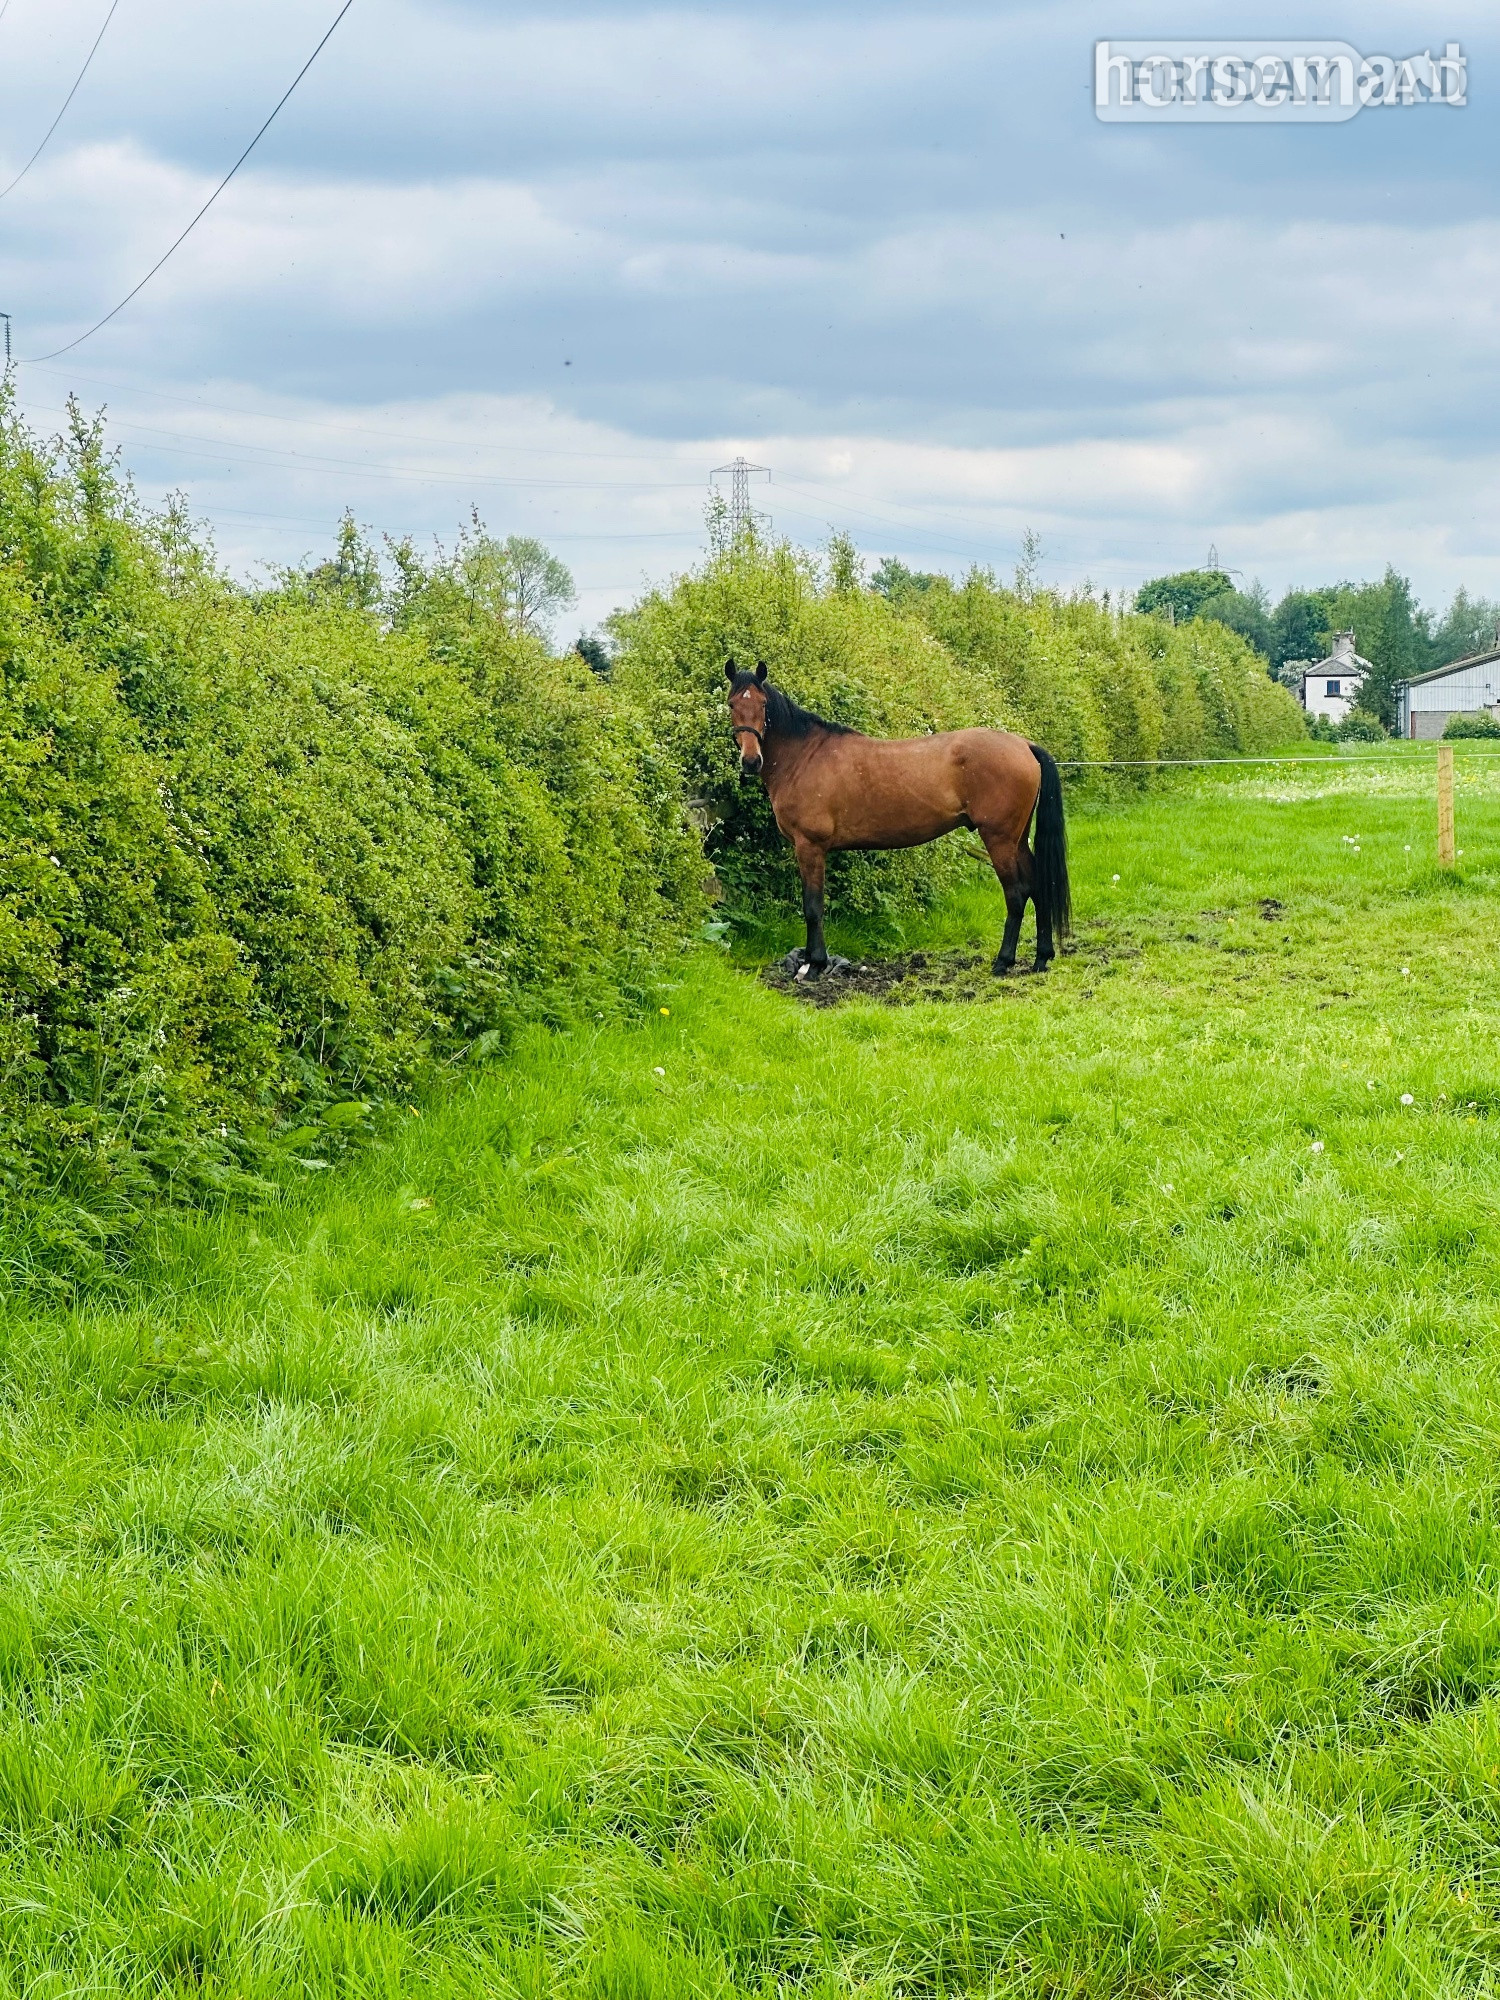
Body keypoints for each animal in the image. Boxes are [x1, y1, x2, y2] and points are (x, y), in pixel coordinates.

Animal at [725, 660, 1070, 977]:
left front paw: (815, 964)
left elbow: (812, 907)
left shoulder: (809, 846)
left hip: (999, 839)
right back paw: (1041, 958)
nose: (751, 760)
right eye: (732, 704)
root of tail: (1024, 745)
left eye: (763, 704)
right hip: (1017, 838)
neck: (804, 757)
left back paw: (1003, 962)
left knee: (1016, 894)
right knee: (1038, 886)